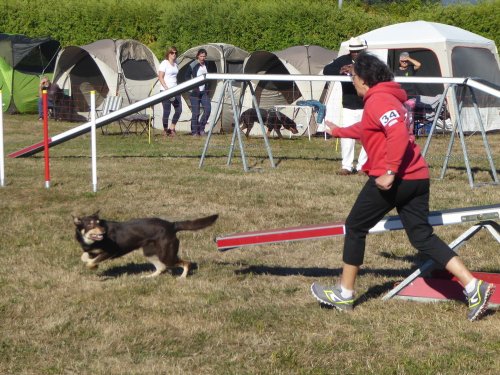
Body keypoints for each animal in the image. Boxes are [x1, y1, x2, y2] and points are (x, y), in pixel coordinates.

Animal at [73, 213, 218, 278]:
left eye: (99, 223)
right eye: (91, 224)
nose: (103, 231)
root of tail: (172, 225)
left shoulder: (111, 251)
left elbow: (90, 261)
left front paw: (93, 266)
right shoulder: (90, 250)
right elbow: (84, 257)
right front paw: (93, 263)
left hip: (166, 255)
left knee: (186, 263)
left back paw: (182, 277)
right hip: (149, 252)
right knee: (162, 267)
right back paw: (148, 277)